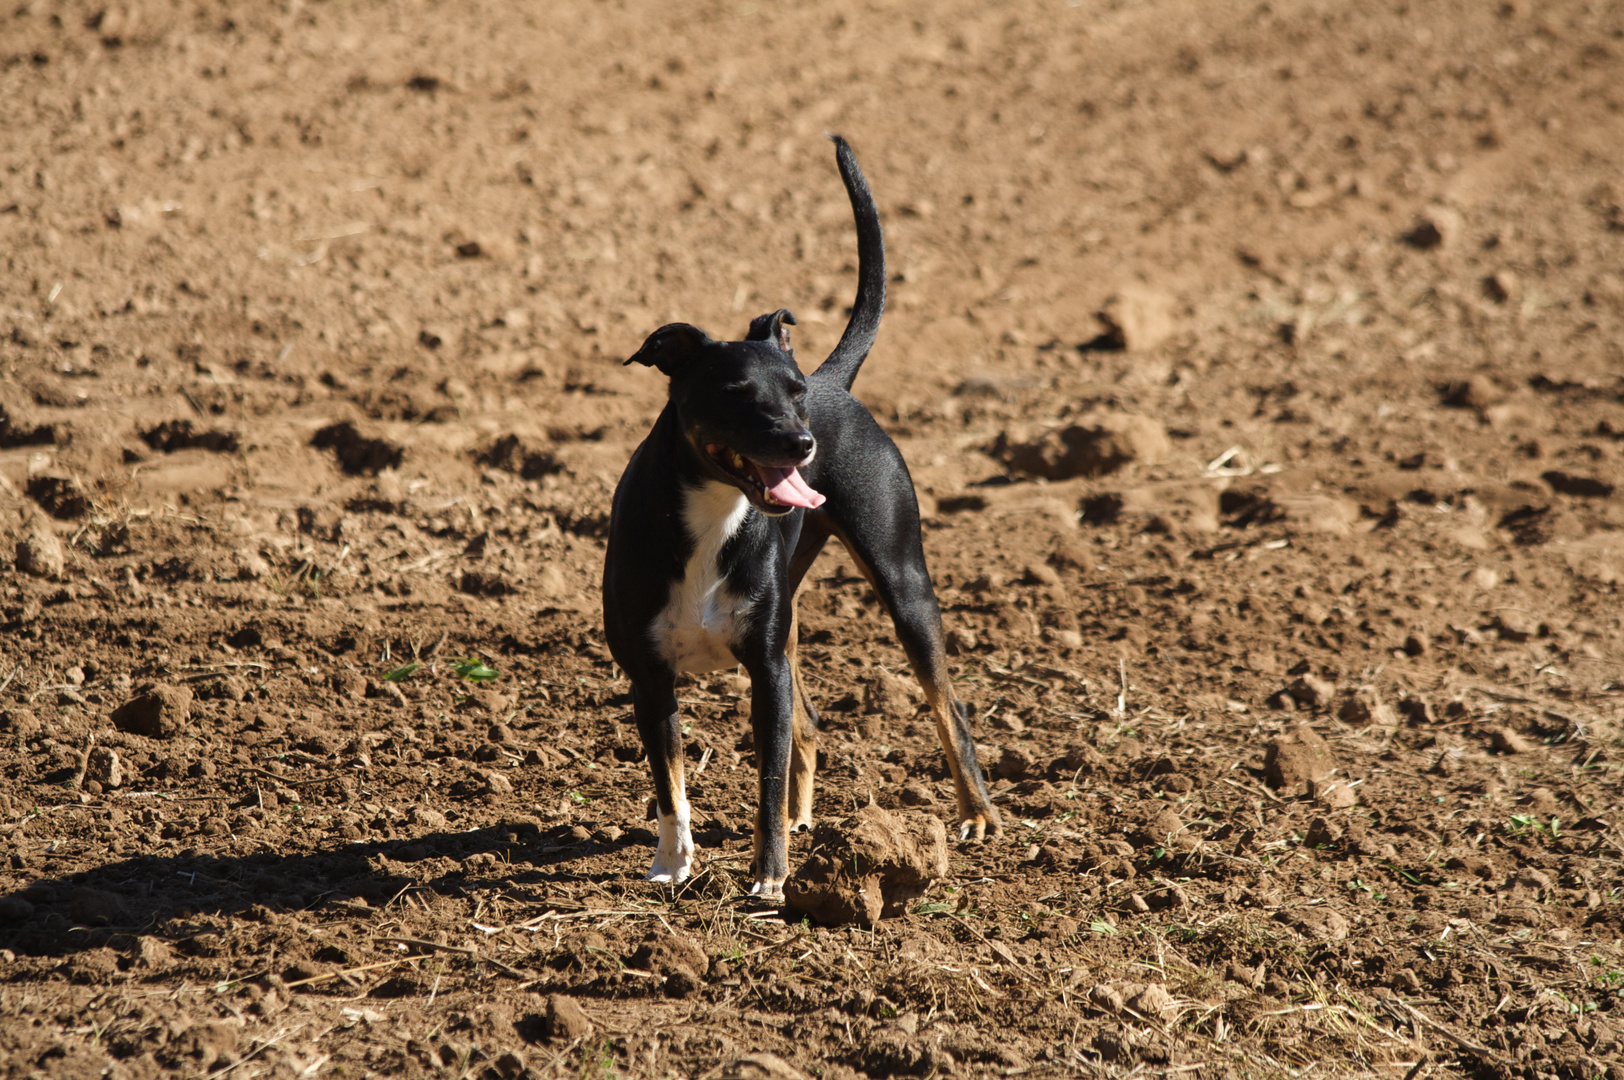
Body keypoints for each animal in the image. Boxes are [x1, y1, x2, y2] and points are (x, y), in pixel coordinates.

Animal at [604, 137, 993, 902]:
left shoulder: (762, 667)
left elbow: (765, 776)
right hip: (789, 631)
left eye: (791, 393)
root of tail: (836, 378)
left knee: (947, 707)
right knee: (809, 725)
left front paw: (769, 878)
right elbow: (670, 786)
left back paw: (973, 817)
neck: (712, 515)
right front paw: (672, 865)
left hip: (902, 583)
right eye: (735, 394)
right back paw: (806, 818)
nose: (801, 442)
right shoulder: (651, 678)